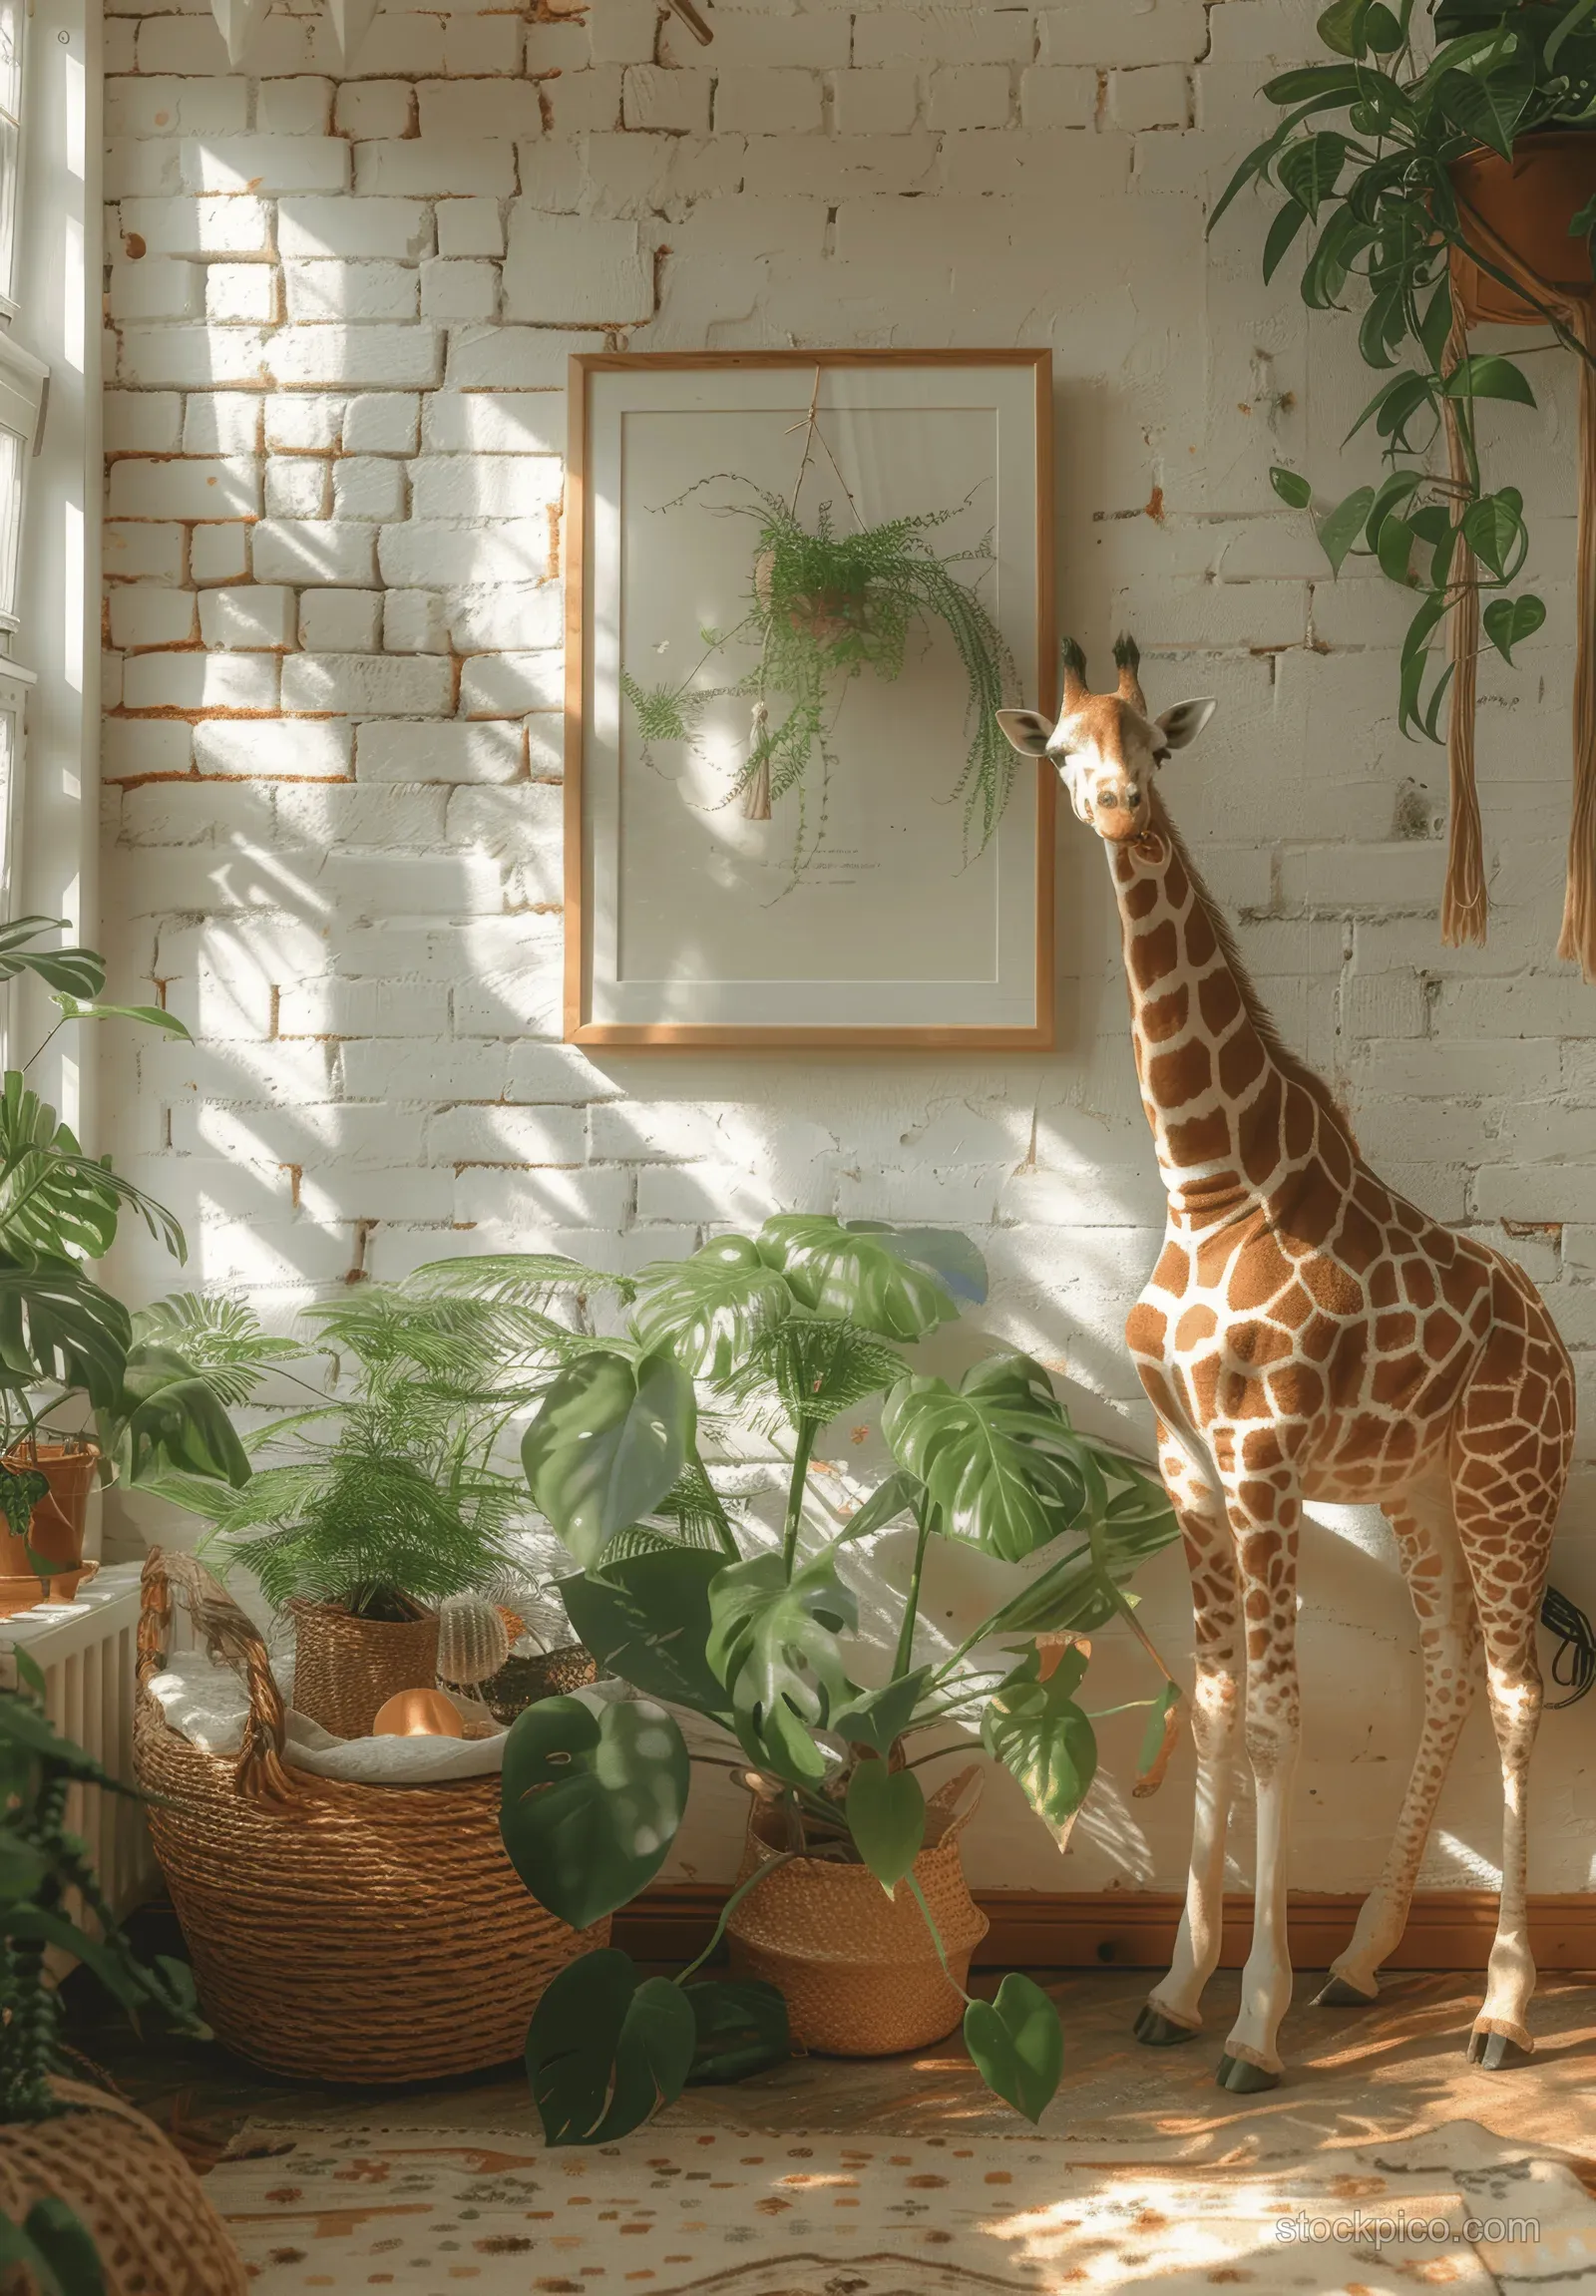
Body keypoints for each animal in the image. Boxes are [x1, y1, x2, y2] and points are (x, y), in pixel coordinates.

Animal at [998, 637, 1575, 2093]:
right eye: (1062, 749)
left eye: (1154, 743)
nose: (1121, 812)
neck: (1208, 1181)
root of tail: (1550, 1338)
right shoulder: (1188, 1465)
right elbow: (1209, 1708)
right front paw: (1176, 1985)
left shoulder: (1259, 1461)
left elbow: (1272, 1719)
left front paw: (1252, 2020)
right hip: (1414, 1487)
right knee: (1444, 1670)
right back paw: (1365, 1959)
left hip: (1506, 1481)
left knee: (1511, 1690)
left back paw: (1500, 2006)